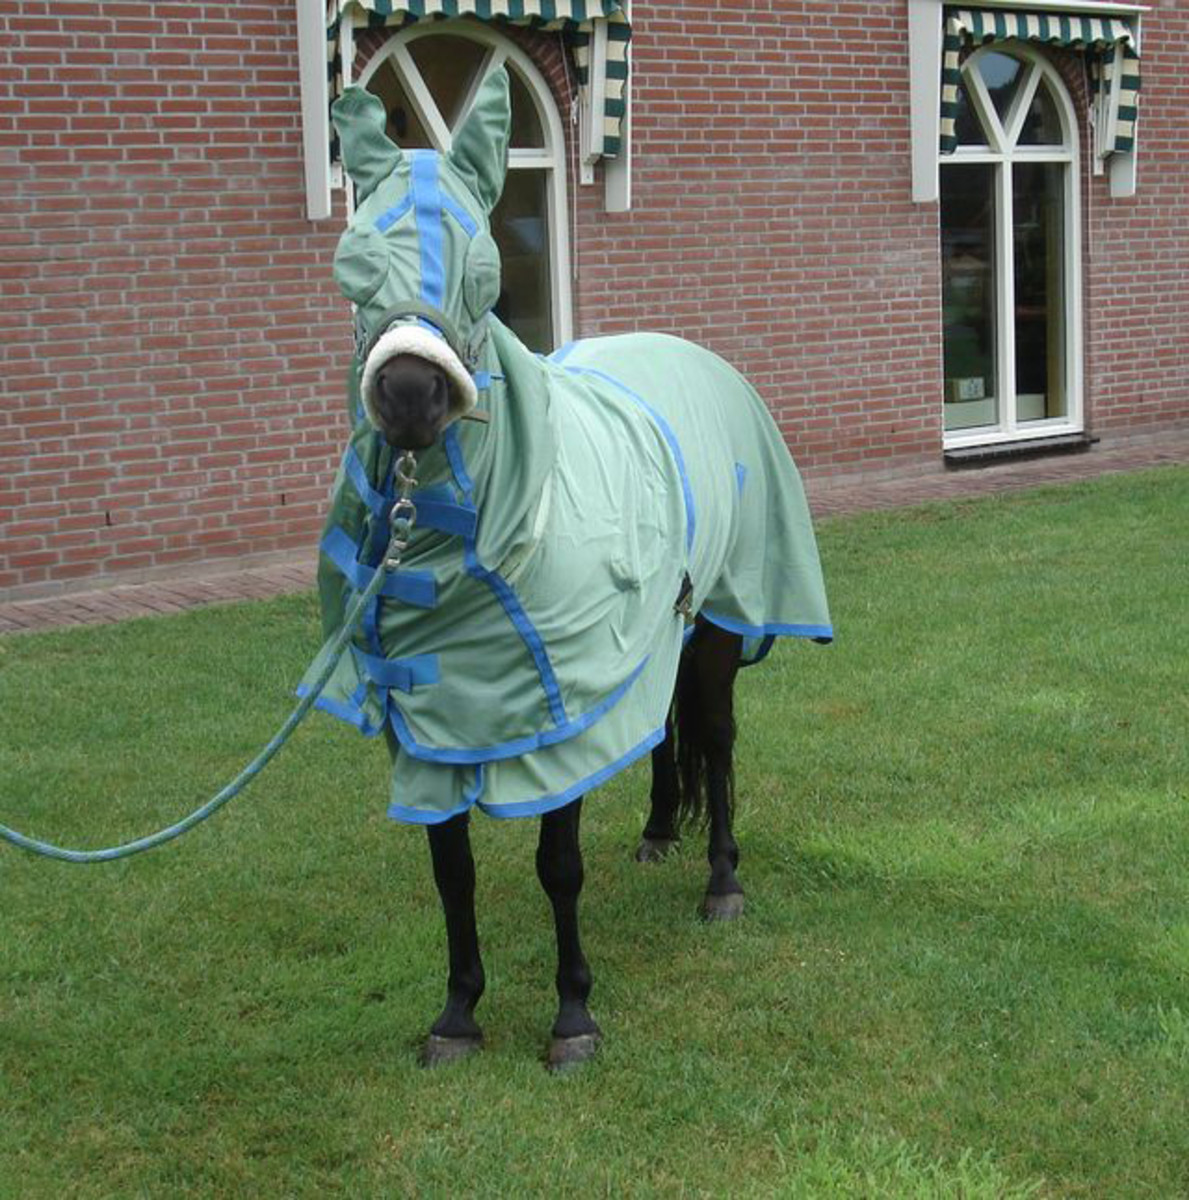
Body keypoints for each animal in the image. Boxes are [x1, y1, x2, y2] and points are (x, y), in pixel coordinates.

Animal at [305, 67, 832, 1070]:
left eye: (483, 270)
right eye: (350, 263)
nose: (408, 397)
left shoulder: (553, 723)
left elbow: (558, 866)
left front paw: (572, 1016)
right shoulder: (436, 734)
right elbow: (452, 871)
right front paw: (457, 1015)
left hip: (719, 621)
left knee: (713, 737)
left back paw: (720, 883)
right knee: (661, 732)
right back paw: (660, 833)